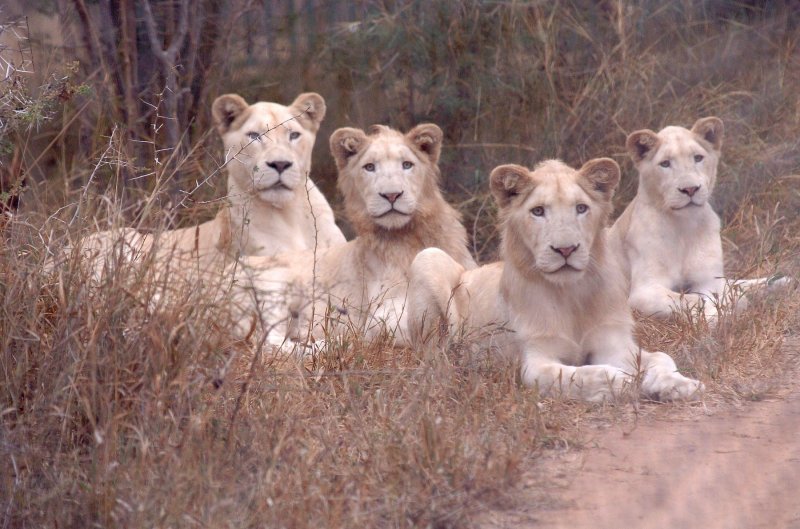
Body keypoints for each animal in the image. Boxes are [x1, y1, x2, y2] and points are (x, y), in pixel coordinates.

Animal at [231, 122, 478, 348]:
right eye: (369, 167)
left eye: (407, 165)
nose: (391, 195)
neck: (408, 238)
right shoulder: (380, 314)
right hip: (275, 282)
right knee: (271, 343)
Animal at [410, 159, 704, 402]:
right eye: (538, 211)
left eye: (581, 208)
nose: (566, 249)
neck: (571, 294)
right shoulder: (535, 362)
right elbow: (581, 374)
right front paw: (624, 382)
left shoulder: (613, 343)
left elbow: (661, 357)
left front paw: (677, 384)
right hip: (427, 256)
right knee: (431, 349)